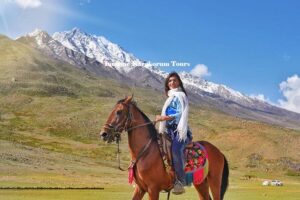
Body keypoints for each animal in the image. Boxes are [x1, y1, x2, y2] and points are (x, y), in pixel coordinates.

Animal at [99, 96, 229, 199]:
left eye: (119, 112)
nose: (103, 134)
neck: (145, 152)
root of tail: (219, 152)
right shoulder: (140, 188)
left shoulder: (153, 189)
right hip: (200, 183)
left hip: (214, 180)